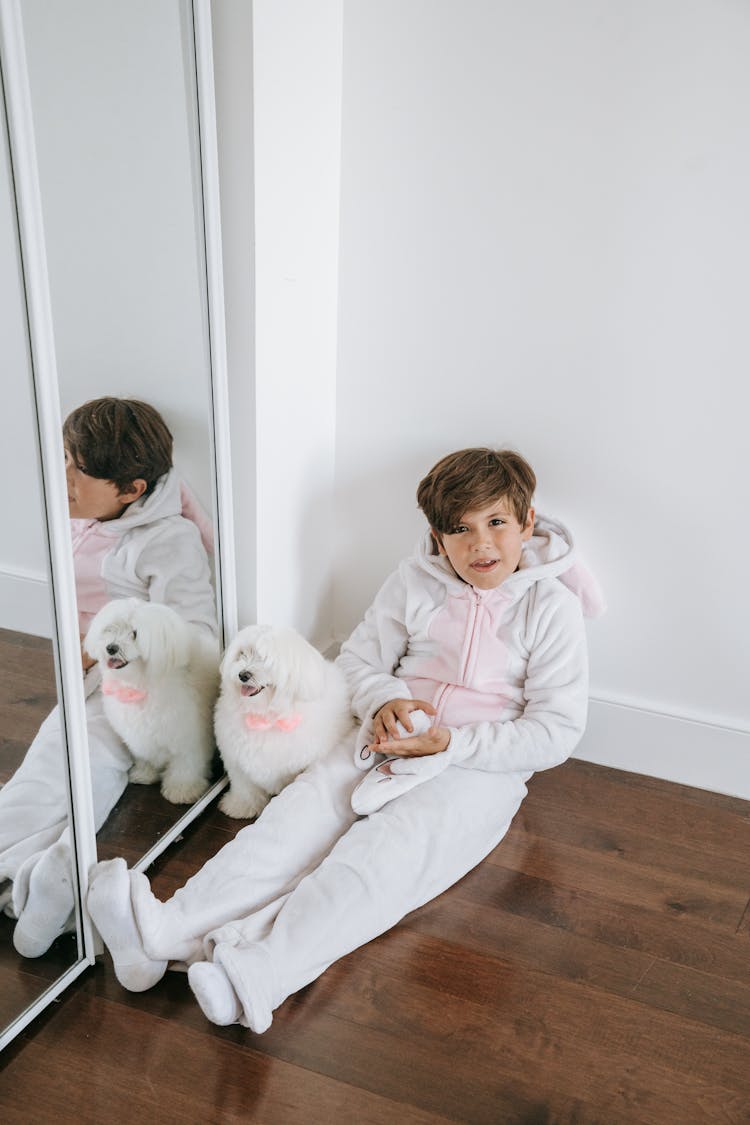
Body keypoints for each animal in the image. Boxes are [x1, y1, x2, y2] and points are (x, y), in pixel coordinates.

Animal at [86, 598, 220, 801]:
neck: (141, 684)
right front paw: (144, 774)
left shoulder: (189, 735)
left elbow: (187, 763)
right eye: (110, 629)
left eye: (134, 634)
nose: (111, 647)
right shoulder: (139, 734)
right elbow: (144, 754)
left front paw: (182, 789)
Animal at [213, 625, 355, 819]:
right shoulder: (236, 762)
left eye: (265, 659)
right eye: (242, 653)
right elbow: (244, 787)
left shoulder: (294, 768)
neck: (264, 717)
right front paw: (241, 806)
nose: (243, 675)